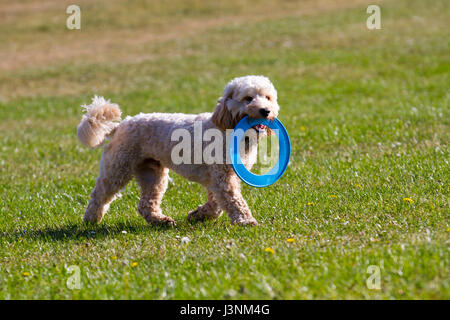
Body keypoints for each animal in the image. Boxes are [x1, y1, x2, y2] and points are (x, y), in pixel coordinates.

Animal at [78, 75, 282, 226]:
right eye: (248, 98)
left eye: (268, 98)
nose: (265, 111)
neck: (228, 128)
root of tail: (120, 125)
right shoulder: (222, 177)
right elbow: (232, 200)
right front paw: (245, 220)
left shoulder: (220, 179)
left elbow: (216, 204)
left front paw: (198, 215)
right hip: (118, 168)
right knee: (100, 194)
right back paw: (91, 219)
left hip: (152, 174)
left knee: (145, 204)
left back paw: (161, 221)